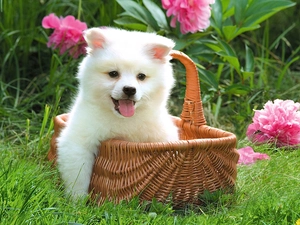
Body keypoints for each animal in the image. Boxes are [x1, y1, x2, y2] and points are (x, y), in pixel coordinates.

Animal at [56, 27, 178, 198]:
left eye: (141, 76)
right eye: (113, 73)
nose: (129, 89)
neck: (123, 120)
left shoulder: (163, 138)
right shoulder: (78, 141)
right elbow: (79, 175)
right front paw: (77, 200)